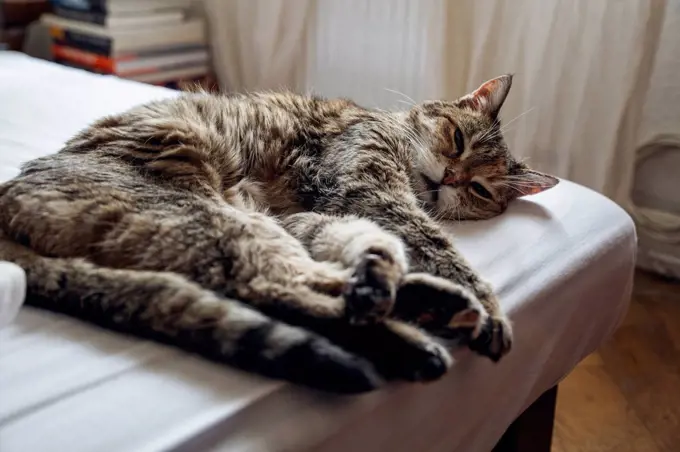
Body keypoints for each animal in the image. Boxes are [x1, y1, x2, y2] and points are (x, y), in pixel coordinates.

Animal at [0, 74, 556, 392]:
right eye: (457, 139)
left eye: (481, 190)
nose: (452, 180)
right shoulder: (368, 189)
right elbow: (441, 248)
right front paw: (493, 307)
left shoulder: (329, 212)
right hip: (210, 221)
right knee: (270, 286)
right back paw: (422, 332)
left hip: (245, 226)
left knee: (308, 288)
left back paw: (421, 309)